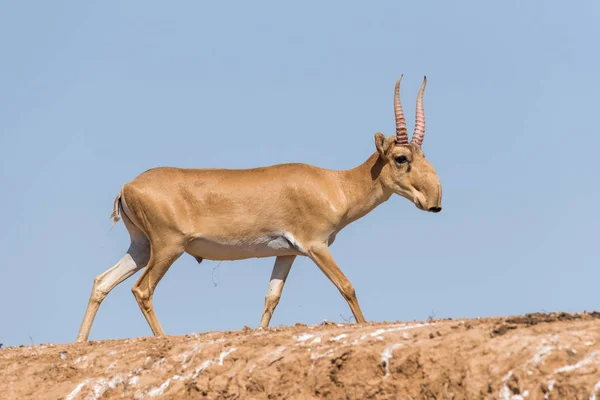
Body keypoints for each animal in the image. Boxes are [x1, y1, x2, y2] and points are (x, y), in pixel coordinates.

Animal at [76, 74, 440, 340]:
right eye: (401, 157)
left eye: (423, 155)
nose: (434, 201)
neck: (334, 184)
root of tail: (128, 186)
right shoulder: (316, 246)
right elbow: (347, 286)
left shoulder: (287, 253)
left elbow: (271, 298)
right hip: (168, 248)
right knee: (142, 289)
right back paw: (163, 338)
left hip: (141, 248)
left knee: (102, 282)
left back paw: (80, 341)